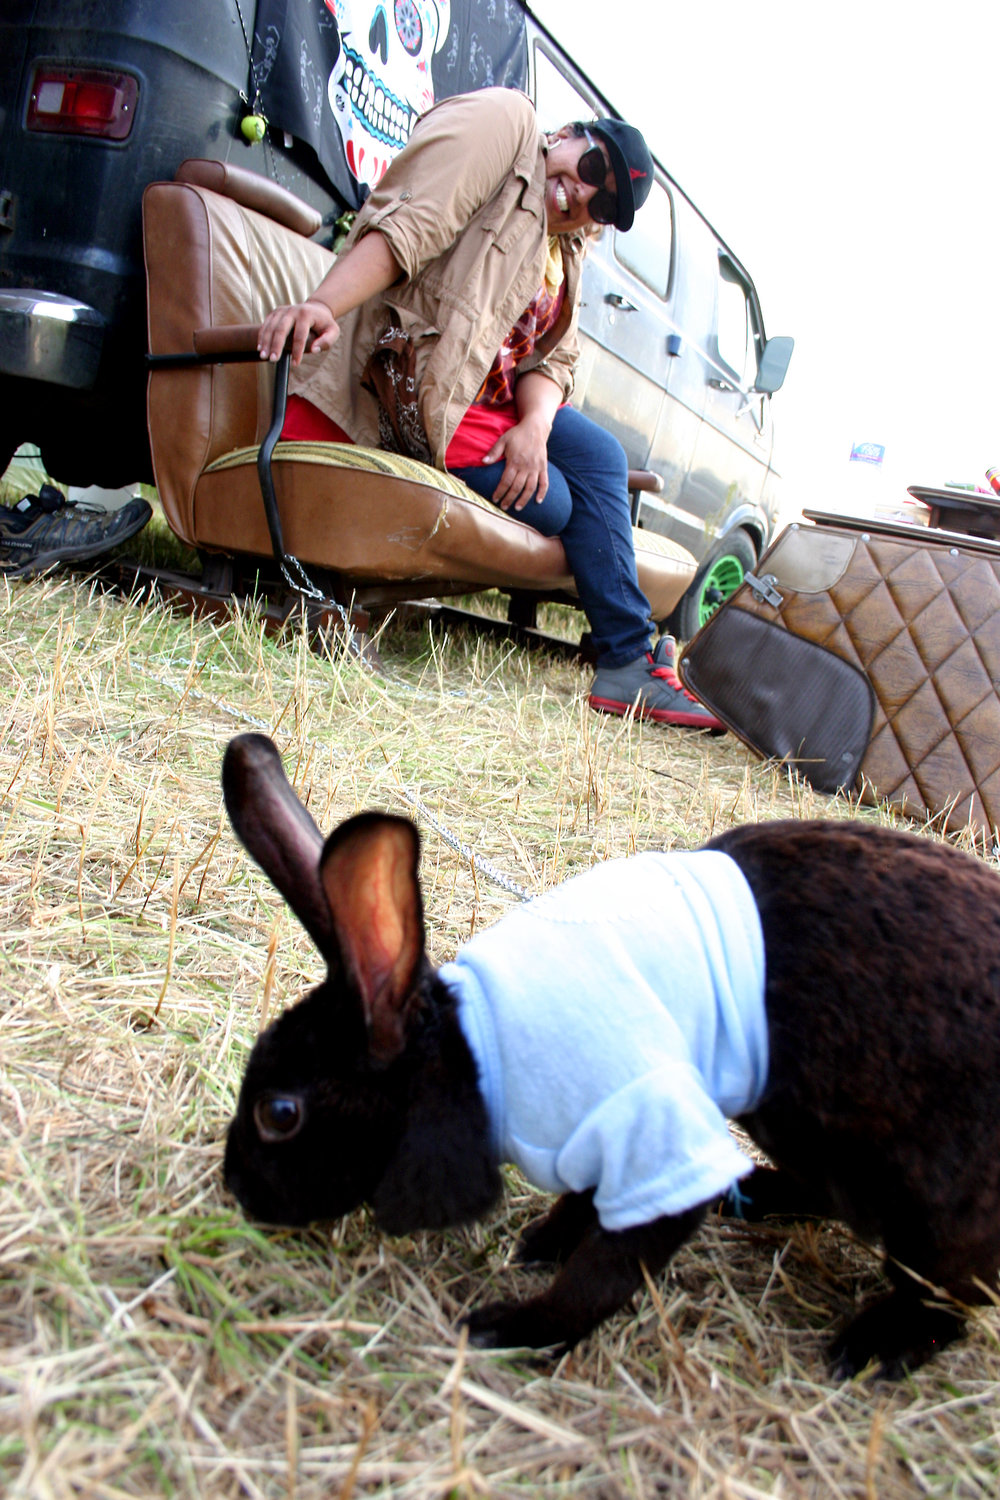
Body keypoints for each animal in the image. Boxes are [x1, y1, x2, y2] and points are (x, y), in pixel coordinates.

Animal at [221, 731, 1000, 1379]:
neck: (477, 1050)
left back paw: (870, 1348)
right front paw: (540, 1244)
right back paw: (755, 1197)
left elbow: (604, 1272)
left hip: (924, 1209)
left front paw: (511, 1327)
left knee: (947, 1299)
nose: (237, 1192)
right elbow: (587, 1210)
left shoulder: (654, 1138)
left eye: (280, 1113)